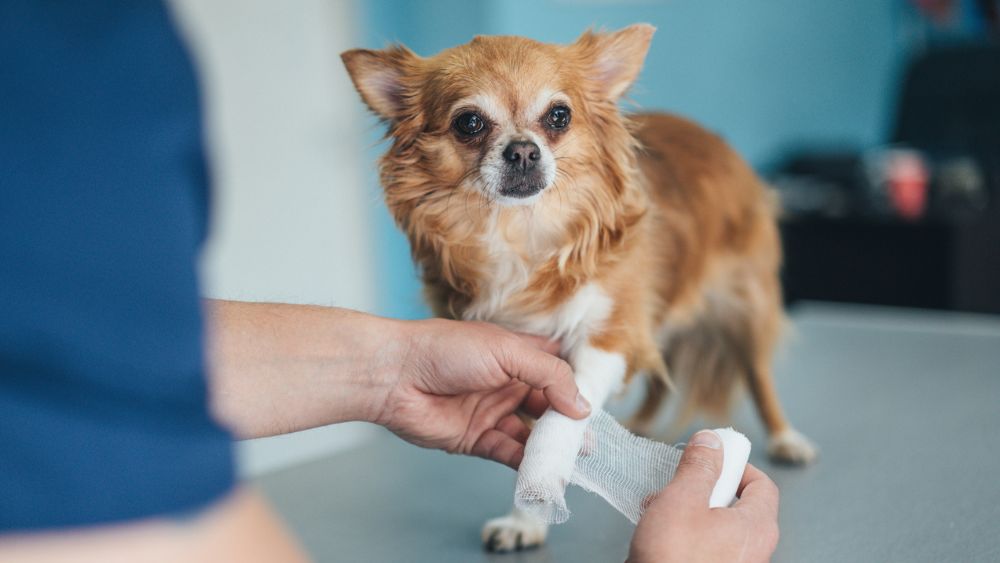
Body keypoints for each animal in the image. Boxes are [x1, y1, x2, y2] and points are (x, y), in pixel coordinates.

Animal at [342, 24, 812, 552]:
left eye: (558, 116)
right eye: (469, 123)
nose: (523, 150)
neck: (521, 233)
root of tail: (709, 136)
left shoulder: (608, 333)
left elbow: (560, 417)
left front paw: (541, 491)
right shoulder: (520, 352)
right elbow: (535, 438)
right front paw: (528, 517)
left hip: (745, 307)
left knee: (757, 374)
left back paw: (785, 438)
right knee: (660, 371)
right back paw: (641, 423)